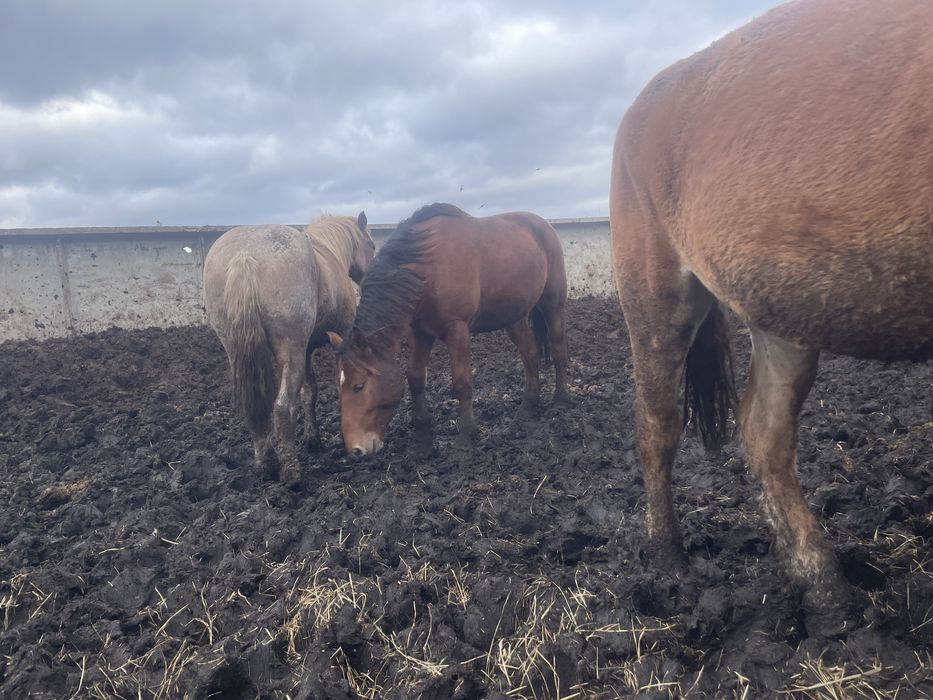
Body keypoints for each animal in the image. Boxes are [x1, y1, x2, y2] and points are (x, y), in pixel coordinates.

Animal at [203, 212, 375, 485]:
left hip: (239, 351)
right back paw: (292, 472)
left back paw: (266, 464)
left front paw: (312, 439)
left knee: (256, 410)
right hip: (290, 350)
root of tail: (244, 255)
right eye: (372, 246)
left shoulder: (306, 350)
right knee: (282, 407)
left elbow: (309, 391)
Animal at [327, 203, 570, 456]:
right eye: (338, 388)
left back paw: (560, 400)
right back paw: (528, 406)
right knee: (529, 354)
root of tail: (542, 224)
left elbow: (462, 383)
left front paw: (466, 435)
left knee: (558, 348)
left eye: (358, 386)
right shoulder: (419, 332)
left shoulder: (457, 330)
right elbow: (415, 378)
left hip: (552, 305)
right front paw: (422, 437)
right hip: (514, 317)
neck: (427, 269)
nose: (355, 449)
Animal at [610, 0, 933, 619]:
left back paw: (823, 585)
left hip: (782, 310)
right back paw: (670, 564)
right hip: (654, 289)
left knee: (763, 433)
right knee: (657, 424)